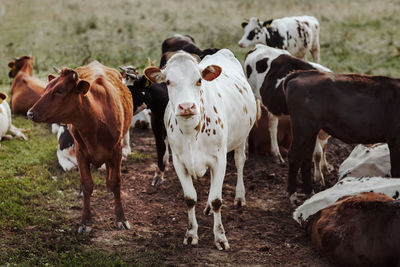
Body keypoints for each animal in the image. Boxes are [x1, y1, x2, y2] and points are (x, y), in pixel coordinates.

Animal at [28, 61, 134, 233]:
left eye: (60, 90)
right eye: (45, 89)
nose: (30, 113)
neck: (96, 120)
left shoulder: (117, 151)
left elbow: (116, 182)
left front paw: (121, 218)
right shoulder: (81, 153)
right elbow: (87, 185)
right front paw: (85, 222)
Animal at [145, 48, 258, 251]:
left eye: (199, 80)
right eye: (168, 81)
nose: (186, 106)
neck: (191, 132)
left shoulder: (220, 159)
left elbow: (217, 200)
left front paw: (220, 237)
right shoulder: (179, 162)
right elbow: (190, 198)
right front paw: (191, 234)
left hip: (241, 138)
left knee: (239, 162)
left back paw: (239, 196)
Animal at [284, 70, 400, 204]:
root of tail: (301, 73)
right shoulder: (395, 139)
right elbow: (396, 171)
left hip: (310, 132)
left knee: (306, 158)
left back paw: (309, 191)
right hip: (303, 128)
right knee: (294, 156)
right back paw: (293, 195)